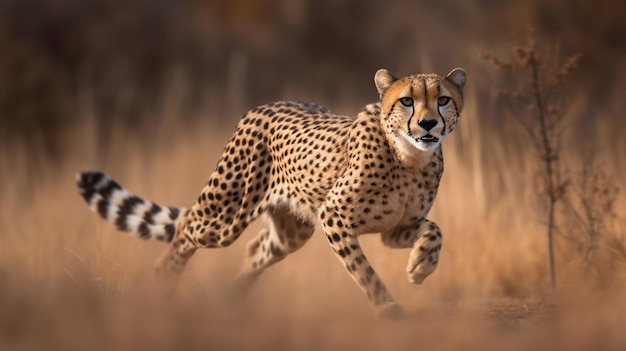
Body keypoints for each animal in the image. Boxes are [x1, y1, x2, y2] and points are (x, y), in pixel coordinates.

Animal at [77, 67, 464, 318]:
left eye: (443, 100)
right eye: (407, 102)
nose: (428, 123)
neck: (409, 158)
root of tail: (265, 104)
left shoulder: (394, 229)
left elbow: (435, 230)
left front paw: (420, 265)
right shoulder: (333, 216)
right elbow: (362, 268)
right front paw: (386, 304)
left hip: (292, 231)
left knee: (256, 248)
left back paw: (233, 299)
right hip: (225, 215)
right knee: (187, 226)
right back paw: (165, 282)